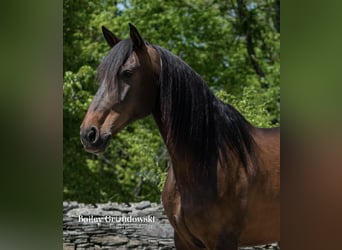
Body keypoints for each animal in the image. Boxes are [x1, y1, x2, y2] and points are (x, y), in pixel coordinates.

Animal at [81, 23, 280, 250]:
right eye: (100, 77)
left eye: (127, 72)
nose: (89, 133)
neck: (208, 159)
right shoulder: (184, 240)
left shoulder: (223, 240)